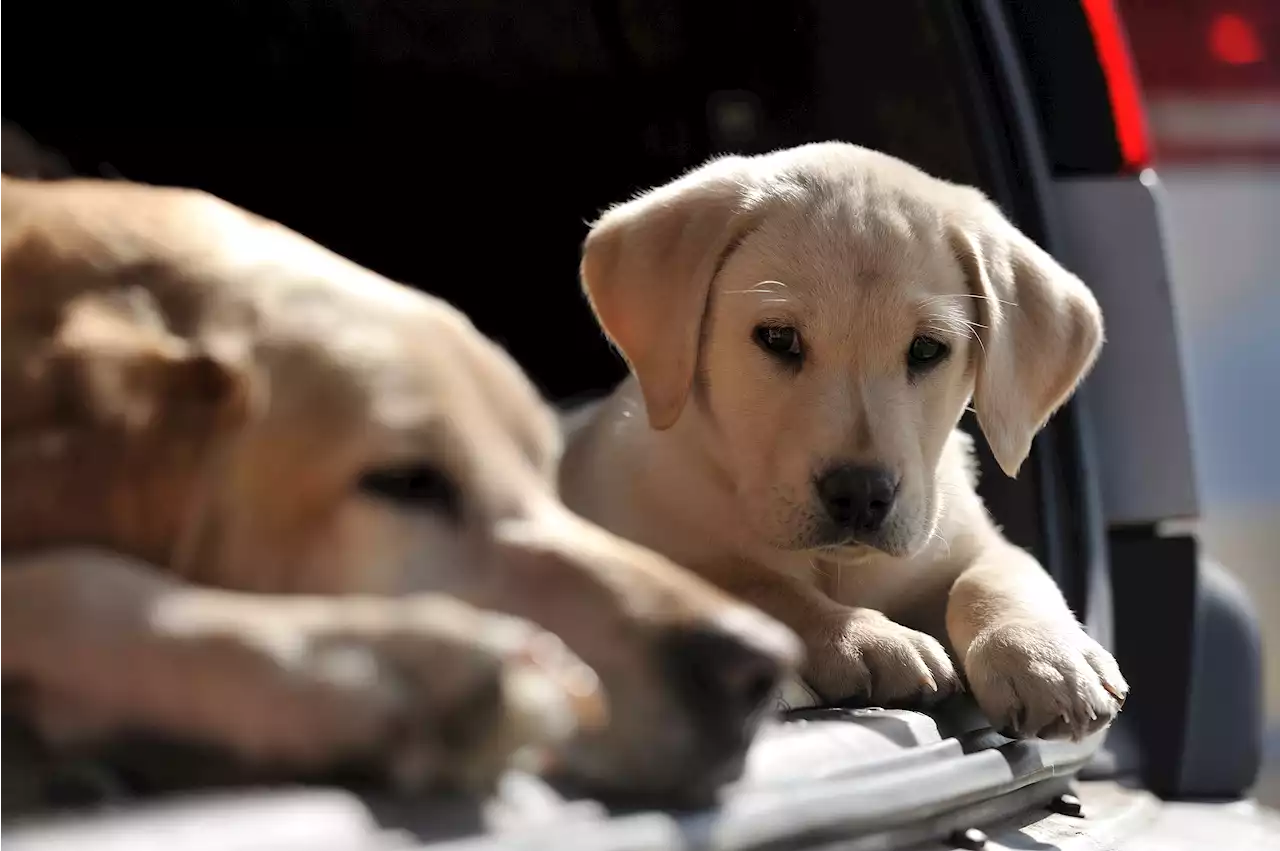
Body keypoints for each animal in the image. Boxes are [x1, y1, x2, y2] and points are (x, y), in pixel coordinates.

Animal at [565, 142, 1126, 742]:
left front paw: (1043, 655)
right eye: (778, 338)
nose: (861, 494)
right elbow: (756, 583)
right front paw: (867, 639)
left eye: (927, 349)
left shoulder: (964, 540)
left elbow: (998, 575)